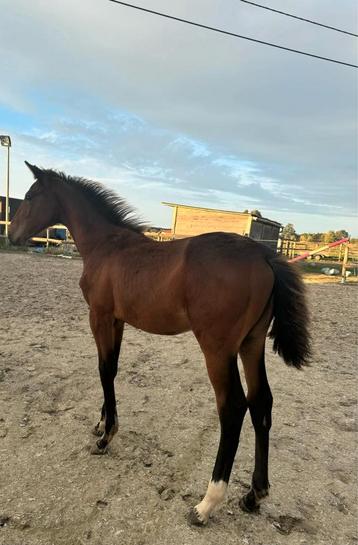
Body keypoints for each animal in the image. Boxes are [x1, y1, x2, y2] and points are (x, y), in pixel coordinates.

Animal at [9, 164, 310, 524]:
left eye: (29, 197)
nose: (11, 235)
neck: (106, 246)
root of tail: (264, 255)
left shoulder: (99, 316)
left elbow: (103, 369)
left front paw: (106, 437)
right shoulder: (117, 321)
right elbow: (112, 368)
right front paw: (101, 424)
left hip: (218, 350)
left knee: (233, 407)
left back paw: (207, 503)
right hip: (252, 343)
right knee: (261, 402)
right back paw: (254, 495)